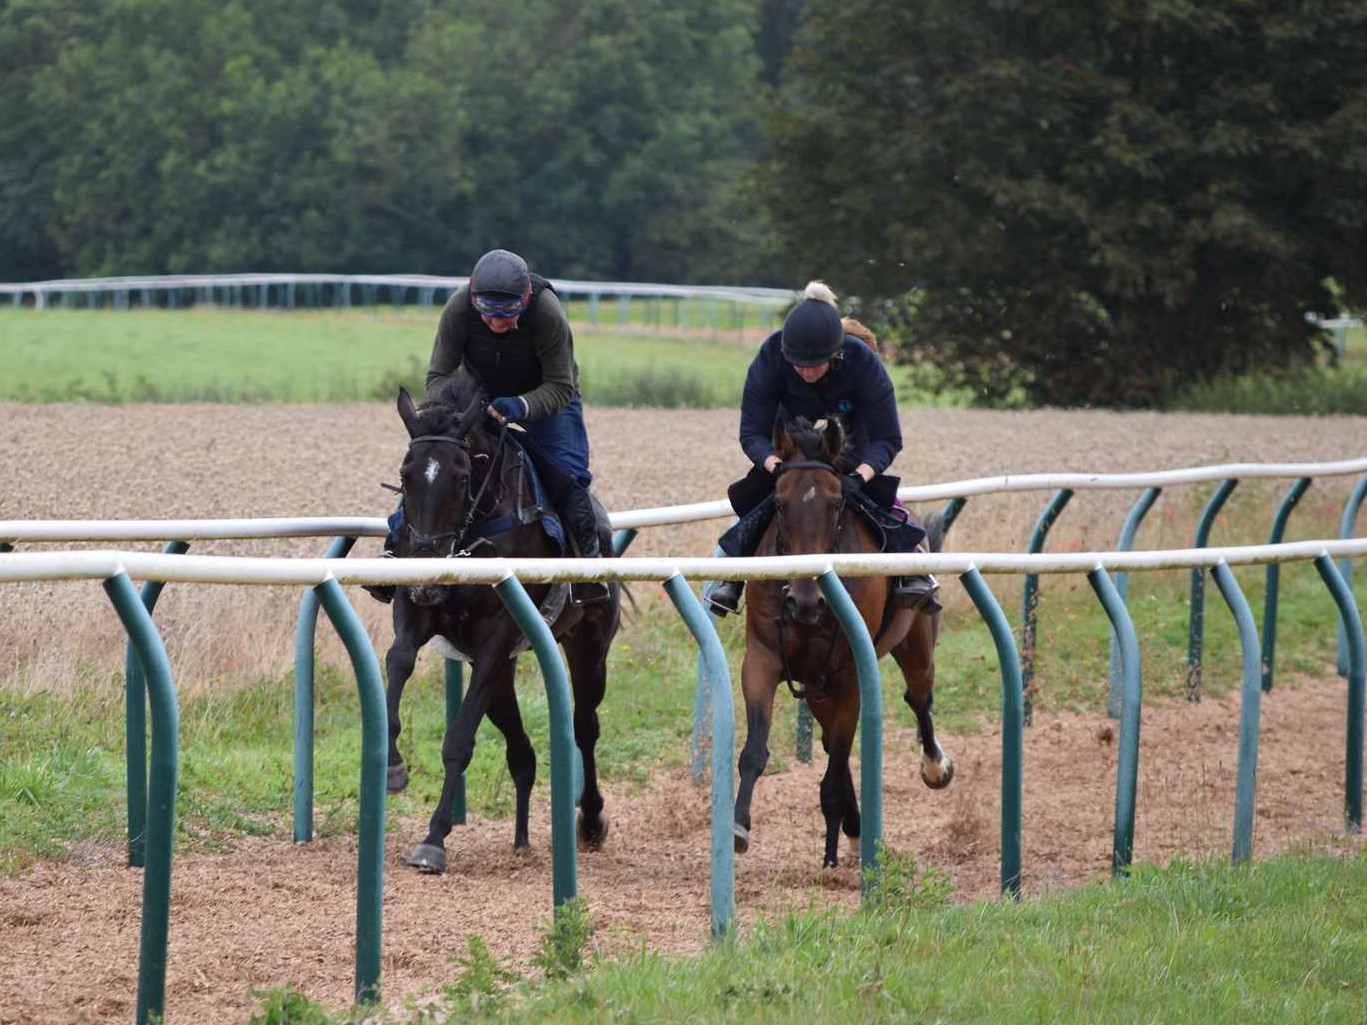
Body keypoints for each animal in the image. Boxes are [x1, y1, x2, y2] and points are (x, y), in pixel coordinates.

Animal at [385, 369, 620, 874]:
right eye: (405, 475)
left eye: (460, 477)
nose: (428, 568)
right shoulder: (416, 611)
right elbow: (397, 662)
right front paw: (392, 765)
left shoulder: (497, 634)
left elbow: (459, 740)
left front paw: (433, 839)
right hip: (501, 671)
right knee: (522, 752)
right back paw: (521, 838)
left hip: (588, 646)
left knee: (585, 726)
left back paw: (591, 820)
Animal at [738, 415, 951, 869]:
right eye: (779, 504)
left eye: (836, 503)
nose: (805, 601)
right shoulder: (764, 658)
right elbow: (756, 749)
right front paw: (738, 825)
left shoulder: (849, 672)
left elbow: (837, 762)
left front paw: (839, 837)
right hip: (817, 686)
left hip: (916, 642)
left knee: (918, 696)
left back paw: (935, 768)